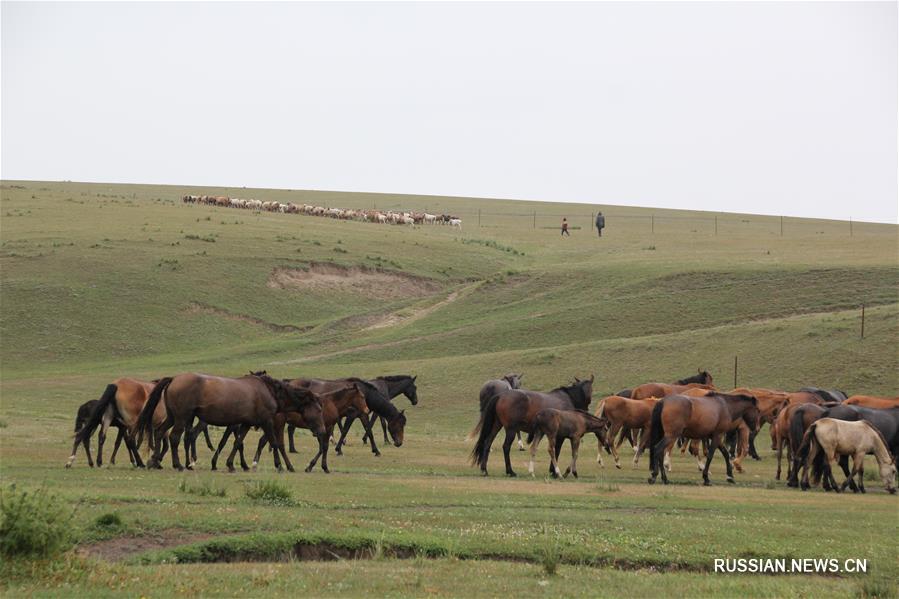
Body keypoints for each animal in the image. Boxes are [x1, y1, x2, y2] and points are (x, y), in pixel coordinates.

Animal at [137, 372, 324, 472]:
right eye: (319, 410)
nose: (322, 431)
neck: (268, 391)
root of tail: (174, 378)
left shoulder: (246, 423)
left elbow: (237, 443)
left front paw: (232, 464)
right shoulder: (266, 421)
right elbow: (274, 443)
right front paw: (280, 465)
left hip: (172, 417)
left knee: (160, 433)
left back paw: (155, 461)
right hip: (182, 418)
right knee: (174, 438)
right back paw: (178, 465)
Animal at [468, 376, 596, 478]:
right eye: (591, 389)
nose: (587, 406)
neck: (568, 398)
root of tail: (500, 395)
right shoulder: (560, 436)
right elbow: (557, 451)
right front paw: (554, 471)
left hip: (496, 425)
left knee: (487, 443)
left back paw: (484, 469)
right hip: (511, 429)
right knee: (506, 447)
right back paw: (510, 471)